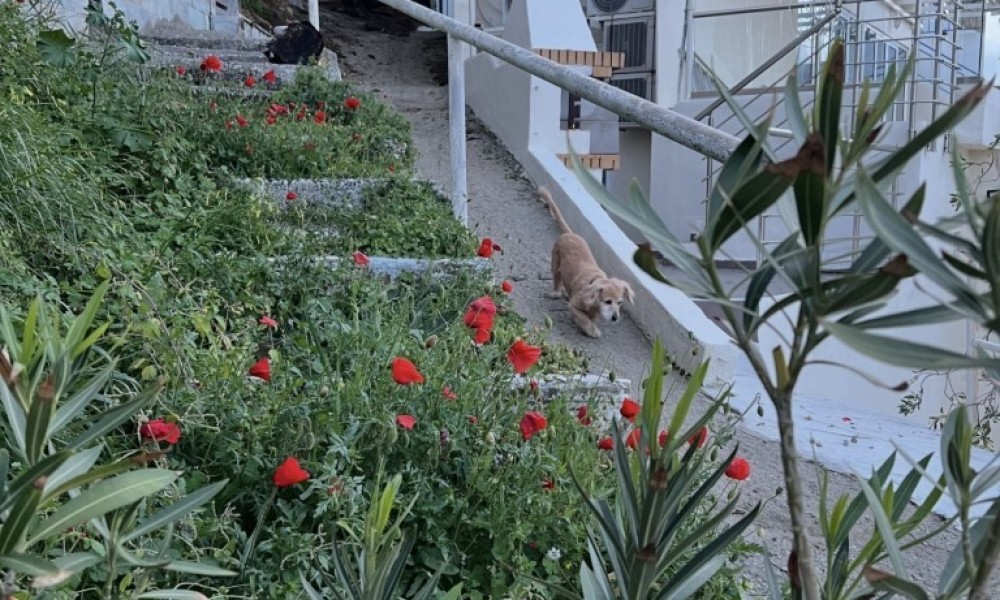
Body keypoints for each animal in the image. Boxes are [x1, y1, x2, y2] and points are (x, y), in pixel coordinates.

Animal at [539, 187, 634, 338]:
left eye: (620, 302)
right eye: (608, 301)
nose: (615, 318)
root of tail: (569, 233)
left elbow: (591, 318)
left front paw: (591, 325)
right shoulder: (574, 305)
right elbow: (583, 318)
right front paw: (590, 330)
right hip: (555, 262)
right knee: (557, 278)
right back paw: (556, 293)